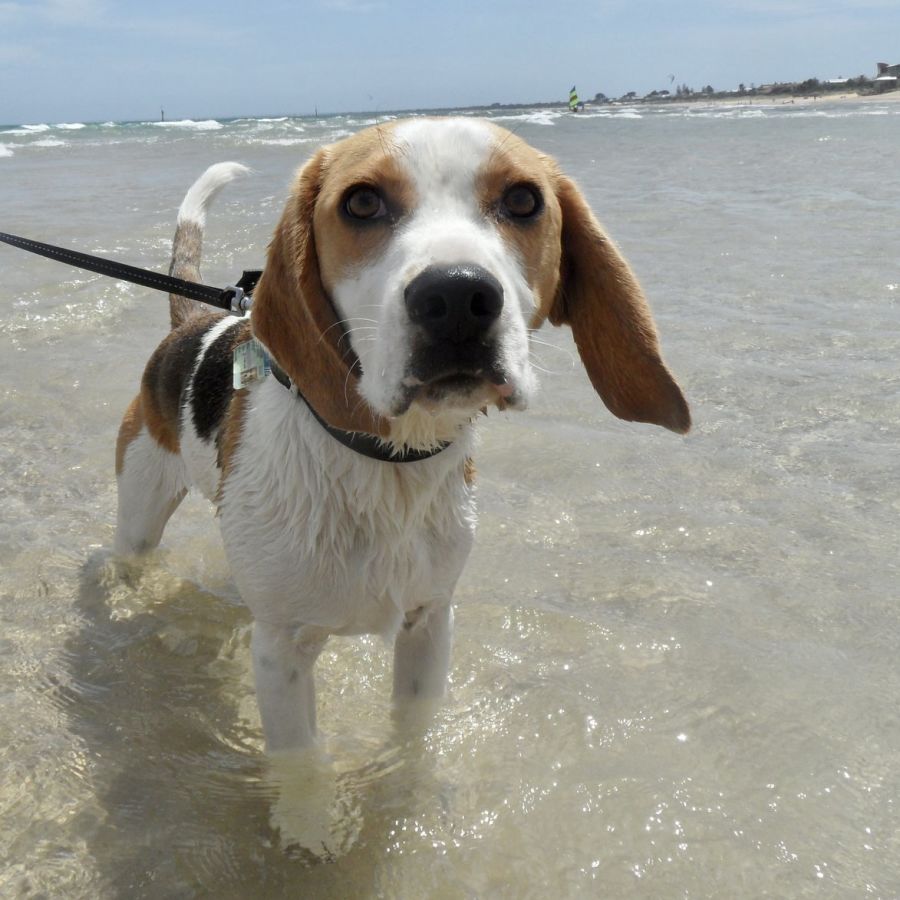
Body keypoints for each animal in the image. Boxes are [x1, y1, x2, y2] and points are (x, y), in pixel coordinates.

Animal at [114, 117, 690, 752]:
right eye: (362, 202)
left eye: (524, 200)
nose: (458, 296)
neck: (387, 464)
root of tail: (194, 322)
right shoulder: (281, 652)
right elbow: (301, 769)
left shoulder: (430, 622)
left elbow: (413, 738)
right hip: (139, 510)